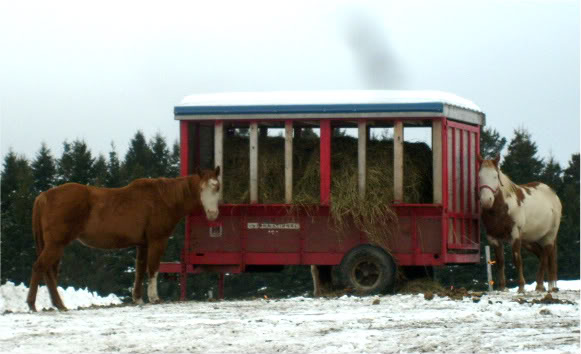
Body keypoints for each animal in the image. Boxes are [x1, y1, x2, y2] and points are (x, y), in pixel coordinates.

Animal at [24, 167, 221, 312]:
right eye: (201, 189)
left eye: (217, 187)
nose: (213, 214)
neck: (162, 198)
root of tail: (44, 196)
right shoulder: (157, 240)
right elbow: (153, 268)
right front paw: (154, 297)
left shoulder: (142, 244)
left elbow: (140, 270)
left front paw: (138, 298)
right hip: (56, 245)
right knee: (40, 267)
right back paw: (34, 304)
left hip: (55, 246)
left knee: (49, 272)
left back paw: (57, 304)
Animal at [476, 156, 560, 294]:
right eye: (479, 176)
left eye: (495, 176)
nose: (486, 201)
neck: (501, 210)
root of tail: (552, 194)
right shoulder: (493, 238)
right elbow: (500, 261)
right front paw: (502, 287)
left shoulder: (515, 235)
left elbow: (517, 260)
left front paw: (521, 287)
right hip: (530, 241)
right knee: (542, 255)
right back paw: (543, 286)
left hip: (549, 237)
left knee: (546, 257)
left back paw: (541, 285)